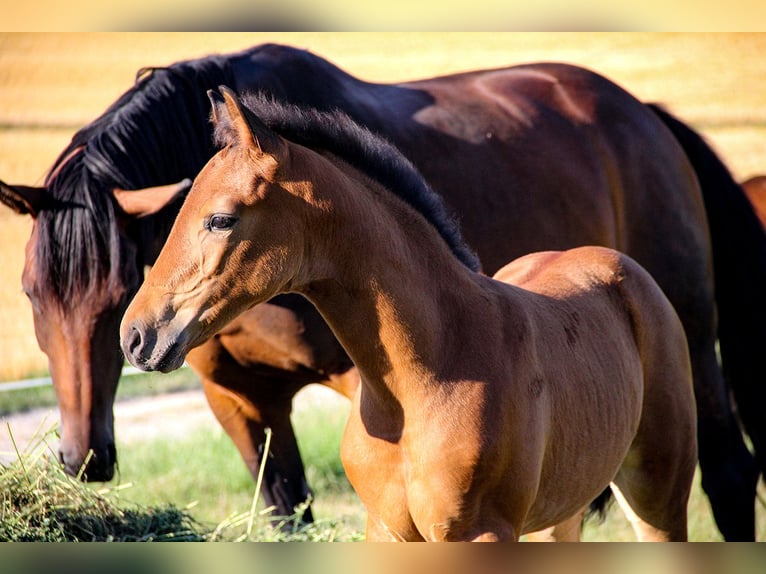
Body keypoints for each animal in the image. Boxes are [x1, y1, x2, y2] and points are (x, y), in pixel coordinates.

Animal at [0, 44, 764, 540]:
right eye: (32, 294)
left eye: (219, 218)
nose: (138, 335)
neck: (432, 372)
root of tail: (647, 114)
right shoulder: (247, 406)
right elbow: (288, 512)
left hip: (687, 369)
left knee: (726, 475)